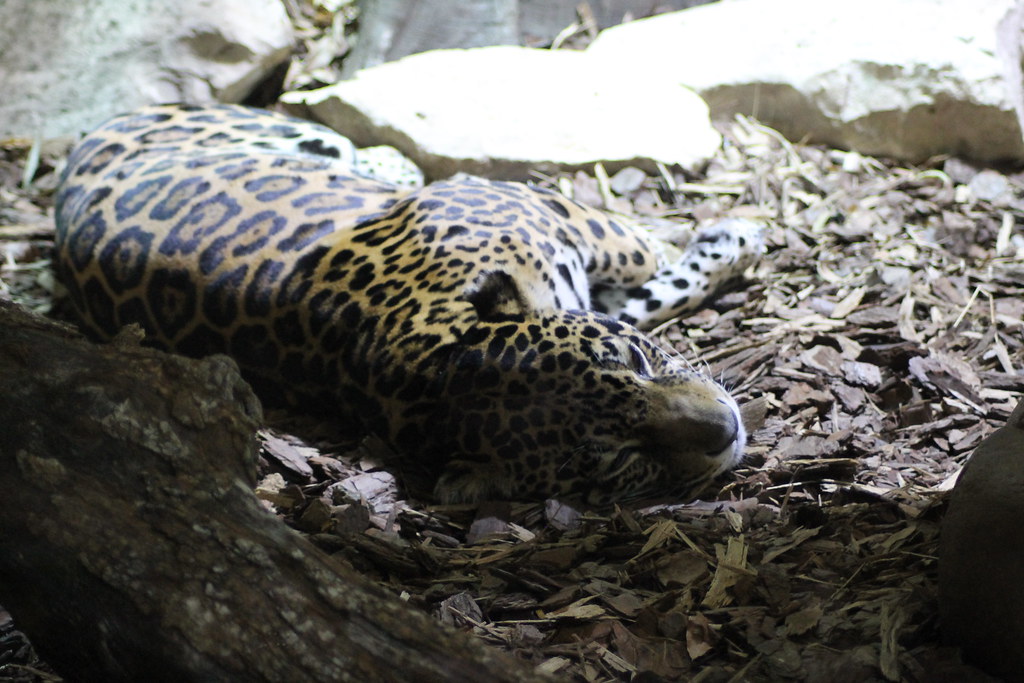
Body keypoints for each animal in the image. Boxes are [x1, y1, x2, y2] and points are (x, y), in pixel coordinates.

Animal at [54, 103, 764, 506]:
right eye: (617, 458)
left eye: (635, 363)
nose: (726, 429)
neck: (428, 364)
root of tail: (79, 143)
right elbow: (647, 280)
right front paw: (727, 242)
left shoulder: (552, 214)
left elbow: (639, 258)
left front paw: (723, 239)